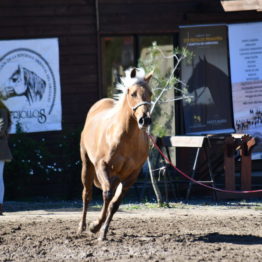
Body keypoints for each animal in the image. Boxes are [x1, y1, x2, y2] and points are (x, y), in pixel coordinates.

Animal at [77, 67, 152, 239]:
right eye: (133, 93)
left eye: (150, 93)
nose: (145, 120)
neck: (126, 138)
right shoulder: (101, 166)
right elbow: (107, 194)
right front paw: (95, 226)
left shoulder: (131, 175)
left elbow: (115, 204)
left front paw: (102, 232)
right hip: (87, 166)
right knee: (87, 194)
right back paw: (81, 227)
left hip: (117, 176)